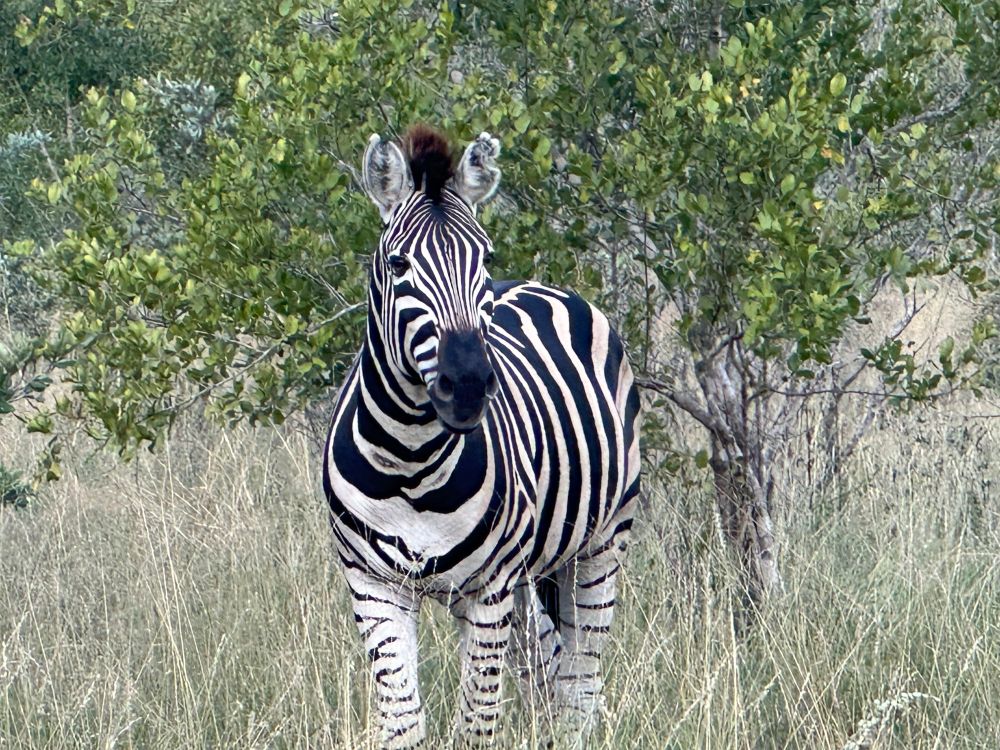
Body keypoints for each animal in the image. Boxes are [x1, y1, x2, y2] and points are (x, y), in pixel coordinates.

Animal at [323, 125, 641, 749]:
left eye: (484, 258)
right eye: (398, 263)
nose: (468, 384)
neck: (409, 459)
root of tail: (540, 285)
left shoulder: (490, 586)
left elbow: (476, 723)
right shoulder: (372, 585)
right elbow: (403, 721)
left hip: (599, 542)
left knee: (580, 685)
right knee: (546, 671)